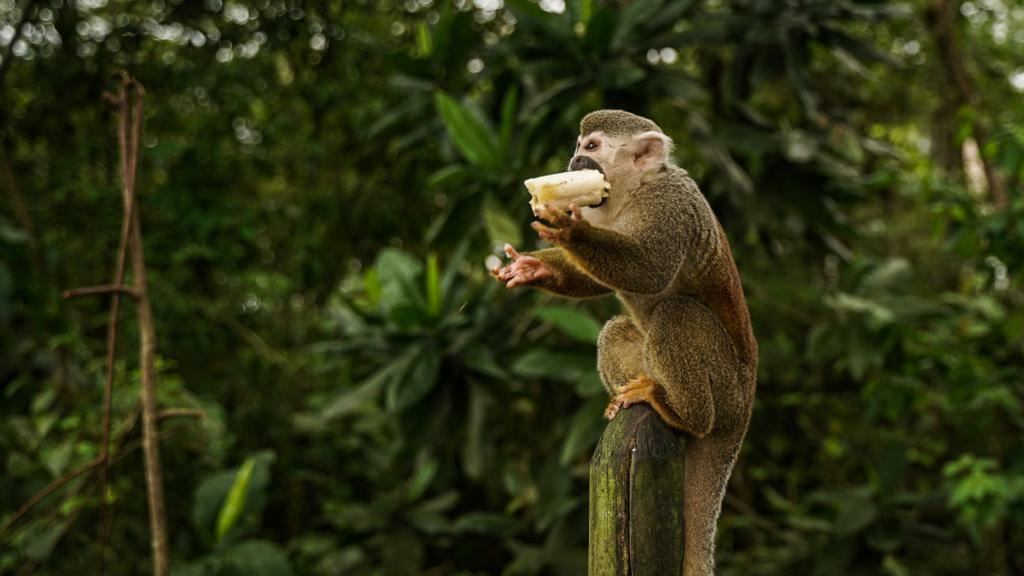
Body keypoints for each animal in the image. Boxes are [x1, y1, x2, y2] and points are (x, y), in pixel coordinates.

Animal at [491, 110, 757, 576]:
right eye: (577, 147)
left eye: (592, 147)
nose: (575, 161)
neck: (631, 194)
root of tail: (746, 403)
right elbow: (598, 279)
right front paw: (534, 268)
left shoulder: (669, 205)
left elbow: (649, 270)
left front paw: (568, 231)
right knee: (618, 330)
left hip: (727, 388)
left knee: (676, 313)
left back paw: (683, 416)